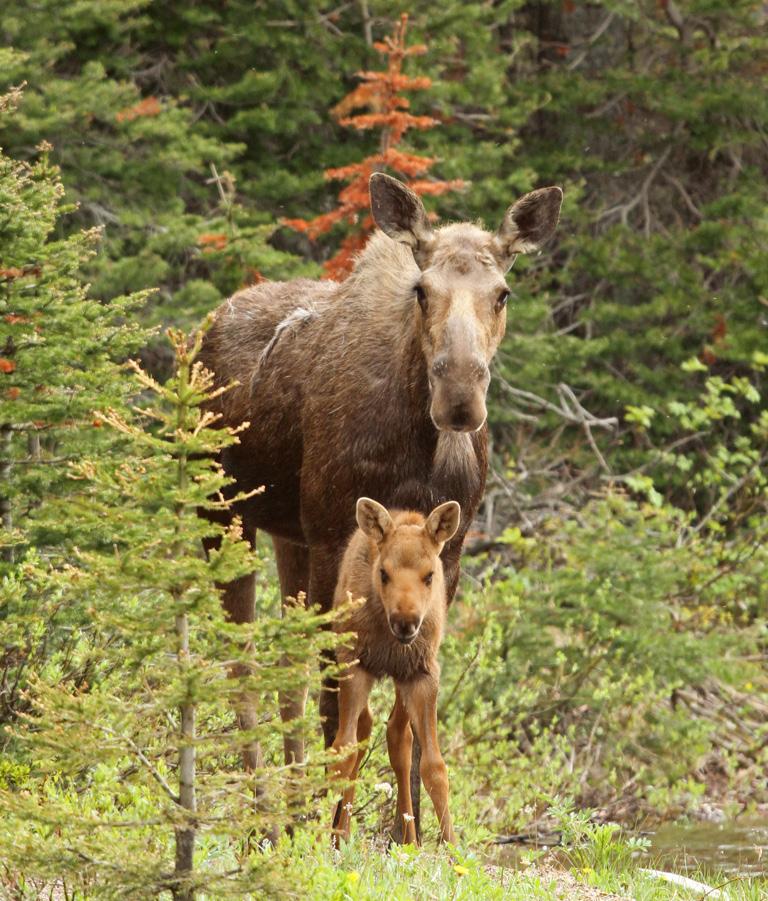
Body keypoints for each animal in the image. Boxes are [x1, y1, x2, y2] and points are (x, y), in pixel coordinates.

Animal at [328, 496, 456, 848]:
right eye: (384, 573)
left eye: (429, 575)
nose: (405, 622)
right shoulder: (355, 665)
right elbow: (343, 753)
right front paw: (319, 838)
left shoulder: (422, 674)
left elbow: (434, 766)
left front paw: (455, 850)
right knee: (365, 730)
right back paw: (342, 832)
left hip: (402, 679)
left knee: (398, 736)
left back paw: (409, 838)